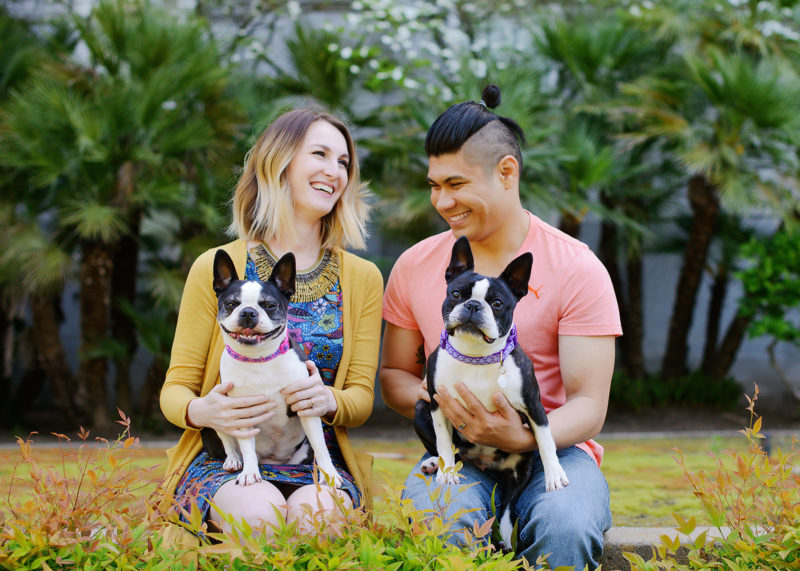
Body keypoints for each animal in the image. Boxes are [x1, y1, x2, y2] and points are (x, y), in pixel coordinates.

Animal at [202, 250, 340, 488]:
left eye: (269, 305)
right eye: (231, 303)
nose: (248, 312)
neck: (260, 359)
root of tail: (272, 461)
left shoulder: (307, 404)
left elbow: (321, 446)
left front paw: (329, 474)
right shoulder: (240, 412)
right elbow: (246, 445)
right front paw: (249, 472)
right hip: (214, 415)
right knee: (229, 441)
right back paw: (233, 461)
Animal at [416, 237, 564, 544]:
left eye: (496, 303)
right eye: (456, 294)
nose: (473, 305)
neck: (476, 356)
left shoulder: (533, 405)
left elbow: (546, 440)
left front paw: (555, 473)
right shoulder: (436, 403)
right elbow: (443, 439)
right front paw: (446, 471)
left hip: (519, 473)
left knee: (507, 510)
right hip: (420, 407)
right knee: (445, 448)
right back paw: (435, 463)